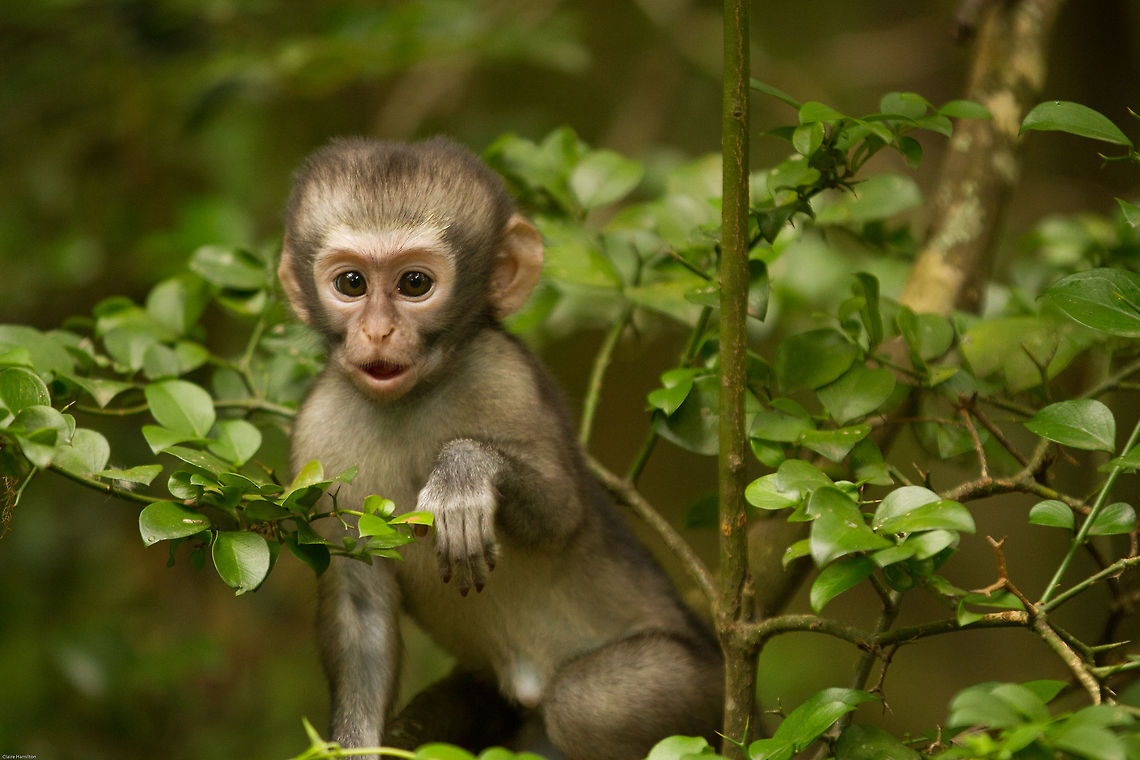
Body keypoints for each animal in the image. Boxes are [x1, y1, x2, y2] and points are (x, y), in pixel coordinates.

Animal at [278, 137, 724, 760]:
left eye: (414, 284)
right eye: (351, 284)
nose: (378, 332)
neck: (412, 401)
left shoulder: (506, 374)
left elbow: (563, 513)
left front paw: (465, 475)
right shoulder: (316, 429)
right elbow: (359, 605)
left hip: (705, 688)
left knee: (586, 705)